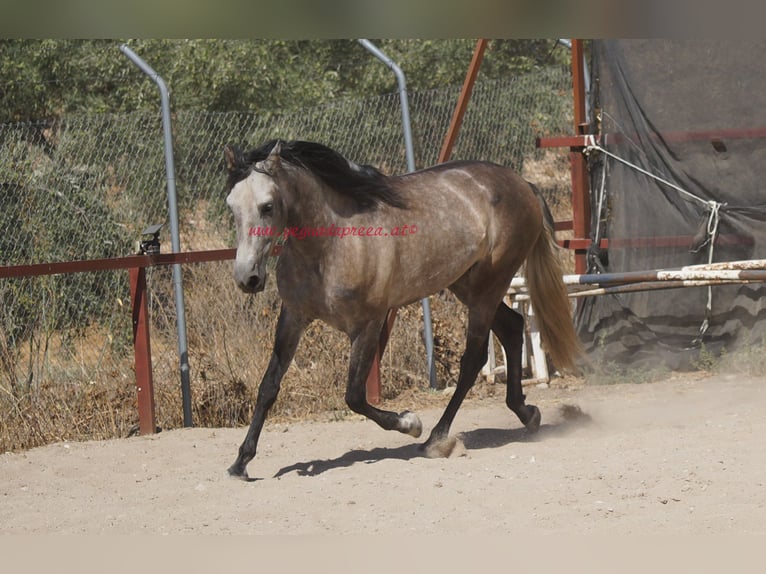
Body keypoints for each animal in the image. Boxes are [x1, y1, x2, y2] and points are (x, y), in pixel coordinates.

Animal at [222, 141, 584, 482]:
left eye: (268, 206)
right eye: (231, 206)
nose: (247, 278)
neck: (332, 245)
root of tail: (523, 183)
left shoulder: (368, 324)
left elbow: (354, 396)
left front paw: (410, 422)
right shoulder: (293, 317)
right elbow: (269, 386)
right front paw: (240, 462)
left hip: (489, 287)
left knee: (473, 360)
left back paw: (436, 439)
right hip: (470, 286)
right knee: (512, 327)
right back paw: (526, 413)